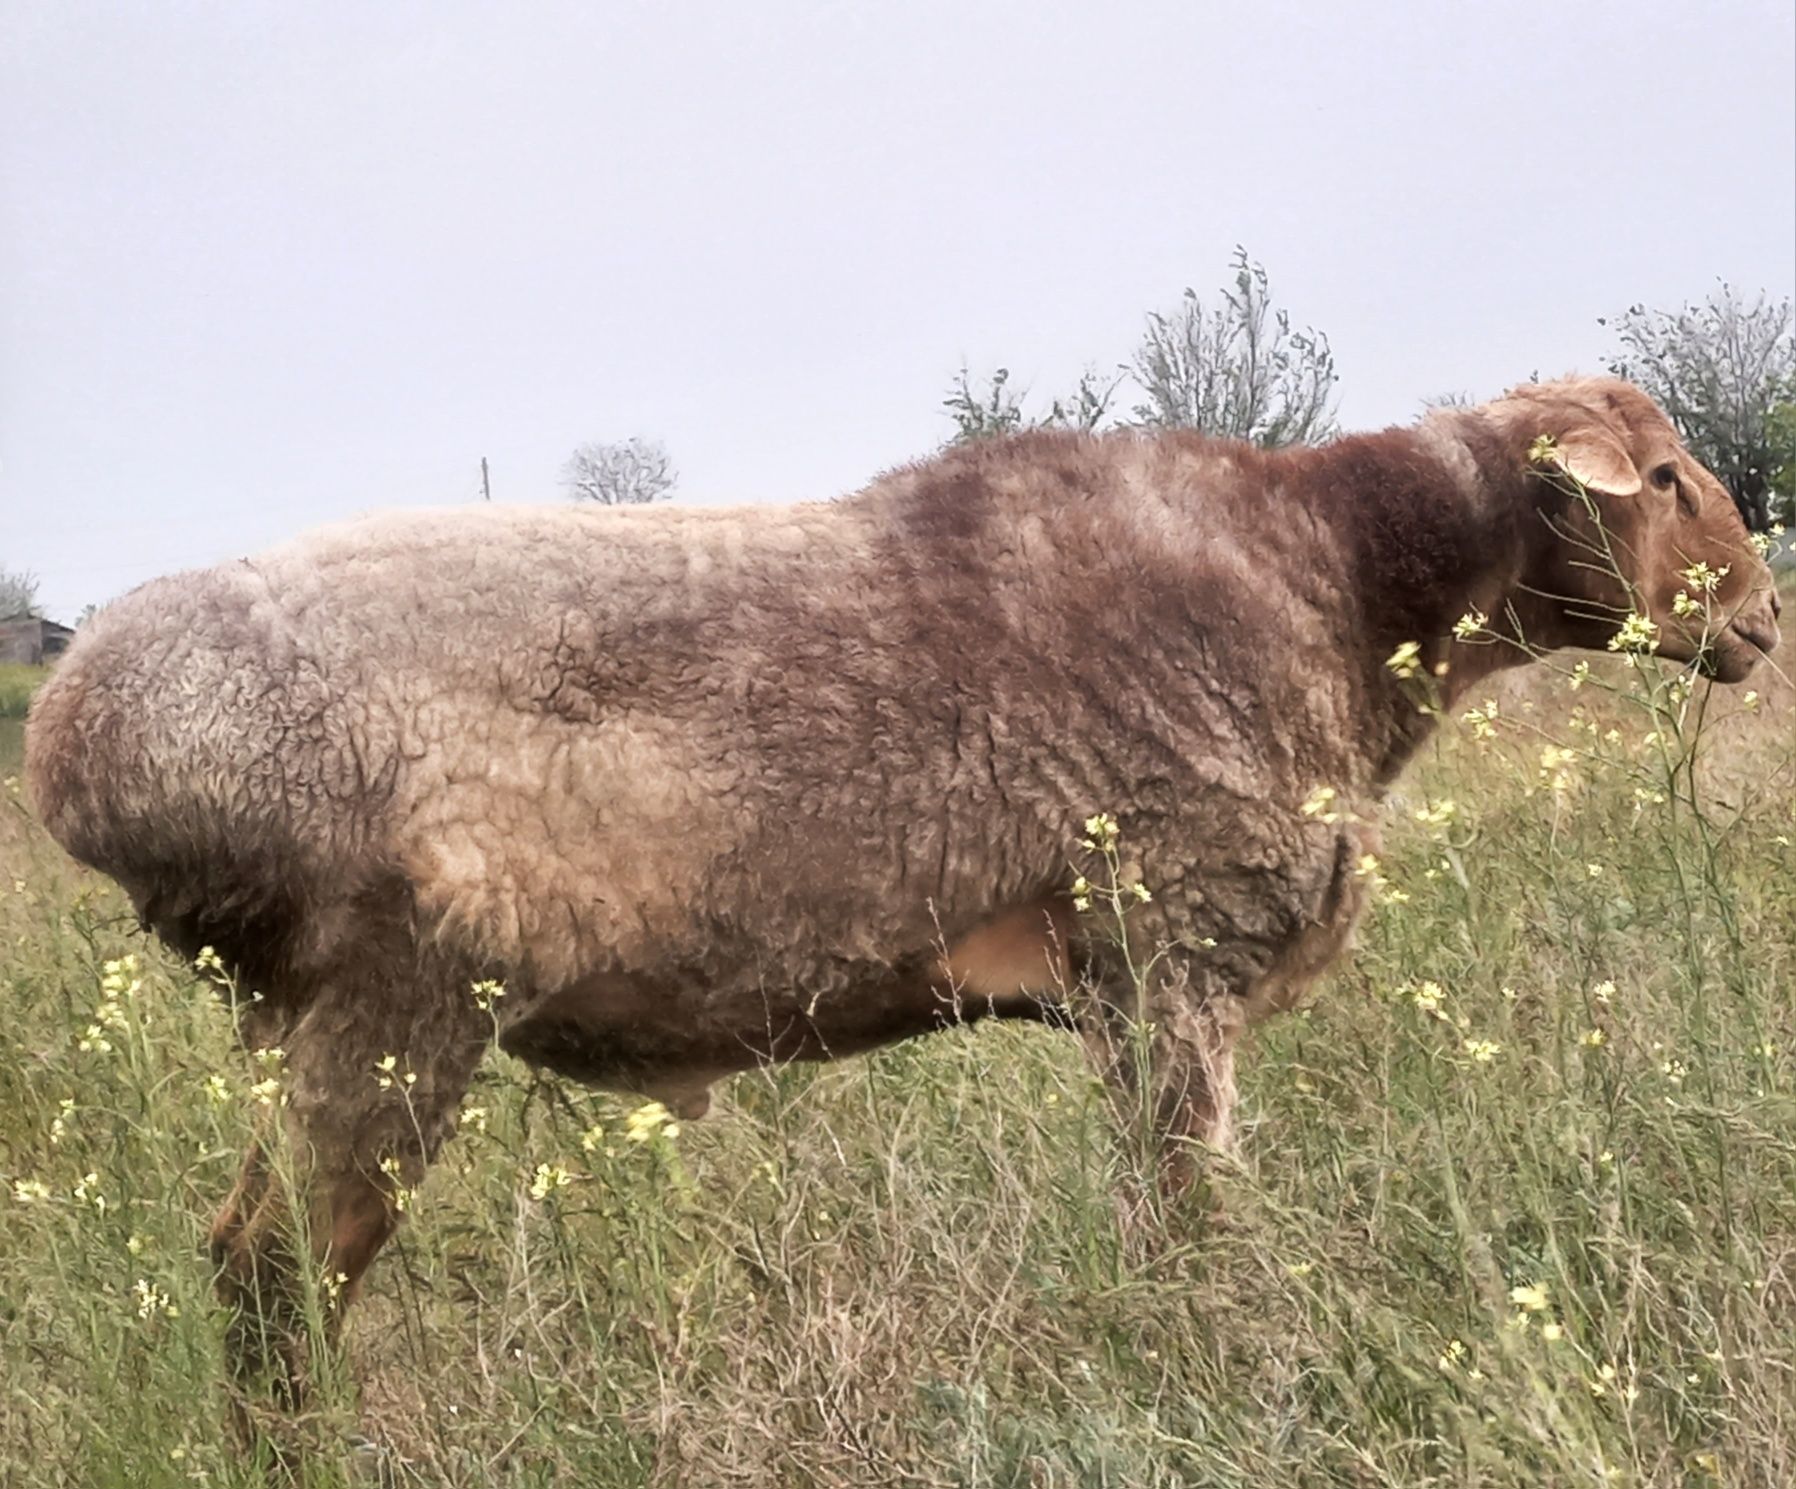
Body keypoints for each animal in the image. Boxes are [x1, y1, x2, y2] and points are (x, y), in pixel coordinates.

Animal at [24, 375, 1781, 1393]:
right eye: (1666, 477)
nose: (1762, 619)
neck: (1341, 585)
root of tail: (72, 731)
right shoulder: (1173, 947)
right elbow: (1189, 1227)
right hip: (395, 994)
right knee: (271, 1274)